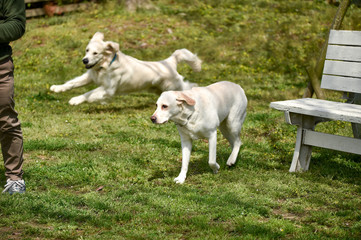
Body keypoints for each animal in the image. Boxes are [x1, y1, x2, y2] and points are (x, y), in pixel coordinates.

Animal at [49, 32, 201, 105]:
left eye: (95, 53)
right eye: (87, 50)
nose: (84, 60)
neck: (105, 66)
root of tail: (169, 61)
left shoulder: (108, 89)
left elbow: (89, 93)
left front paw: (76, 100)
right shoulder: (90, 76)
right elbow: (71, 83)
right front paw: (57, 88)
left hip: (174, 85)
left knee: (189, 86)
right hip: (159, 89)